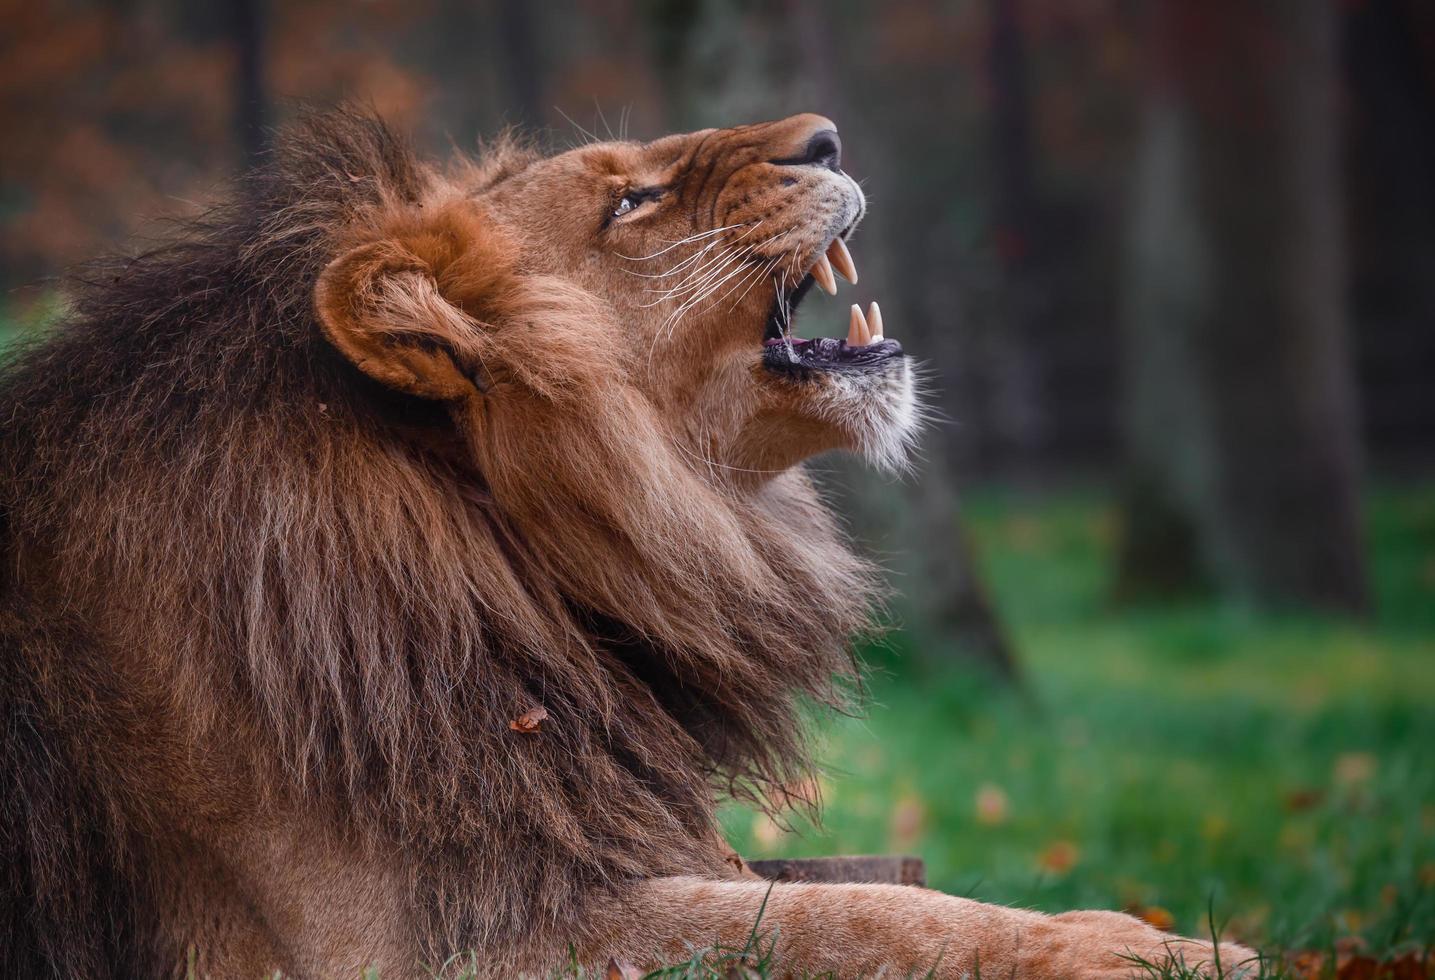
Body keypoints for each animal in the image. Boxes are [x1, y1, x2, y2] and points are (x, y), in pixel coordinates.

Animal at [0, 109, 1251, 980]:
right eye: (630, 203)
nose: (828, 138)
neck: (507, 546)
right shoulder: (422, 939)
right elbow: (847, 918)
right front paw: (1163, 949)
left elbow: (858, 890)